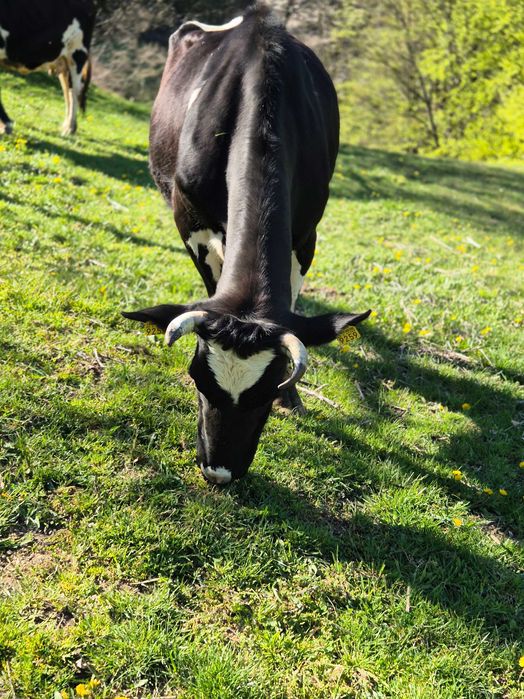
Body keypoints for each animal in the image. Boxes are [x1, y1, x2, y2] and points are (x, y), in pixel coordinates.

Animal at [0, 0, 96, 136]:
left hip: (77, 53)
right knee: (67, 89)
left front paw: (6, 125)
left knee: (75, 91)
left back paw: (69, 129)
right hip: (64, 62)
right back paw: (67, 126)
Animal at [123, 4, 370, 484]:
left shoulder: (306, 231)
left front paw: (293, 400)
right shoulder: (191, 223)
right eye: (197, 378)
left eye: (268, 390)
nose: (219, 472)